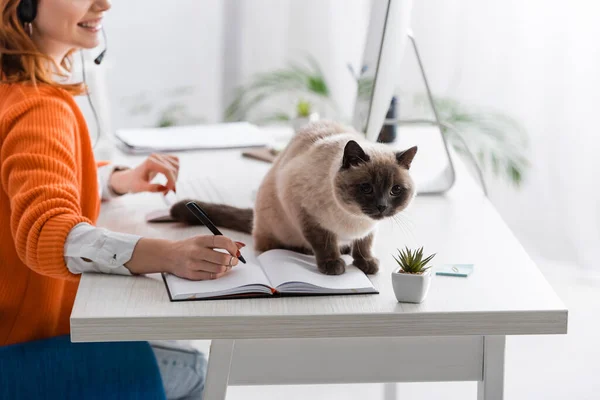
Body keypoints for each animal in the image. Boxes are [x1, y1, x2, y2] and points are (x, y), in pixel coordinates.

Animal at [170, 119, 418, 276]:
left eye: (395, 190)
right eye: (366, 188)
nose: (381, 207)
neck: (355, 220)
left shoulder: (369, 229)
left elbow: (365, 244)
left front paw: (366, 263)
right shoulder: (305, 212)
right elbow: (323, 242)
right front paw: (332, 264)